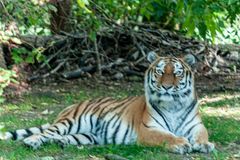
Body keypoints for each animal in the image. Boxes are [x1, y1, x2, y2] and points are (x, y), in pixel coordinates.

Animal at [0, 52, 214, 154]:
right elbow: (167, 136)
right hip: (71, 122)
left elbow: (202, 135)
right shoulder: (149, 129)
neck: (174, 105)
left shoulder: (196, 125)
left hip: (88, 134)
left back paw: (61, 142)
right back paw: (32, 142)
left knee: (62, 137)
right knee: (46, 133)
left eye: (177, 73)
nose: (167, 87)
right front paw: (181, 143)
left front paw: (204, 145)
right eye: (160, 71)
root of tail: (69, 107)